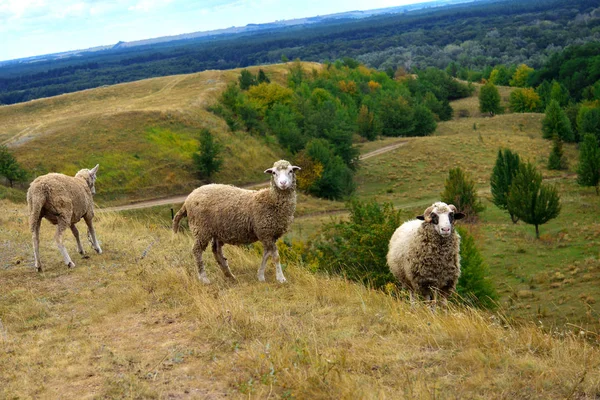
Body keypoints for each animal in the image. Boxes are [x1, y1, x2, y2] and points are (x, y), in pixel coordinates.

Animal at [172, 159, 300, 284]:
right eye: (274, 173)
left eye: (290, 171)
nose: (283, 183)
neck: (271, 200)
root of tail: (188, 199)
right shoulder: (265, 232)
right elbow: (275, 256)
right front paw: (281, 278)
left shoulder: (270, 234)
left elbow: (266, 255)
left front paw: (260, 276)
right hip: (201, 228)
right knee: (197, 250)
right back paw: (204, 278)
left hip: (216, 230)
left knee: (216, 251)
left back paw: (229, 275)